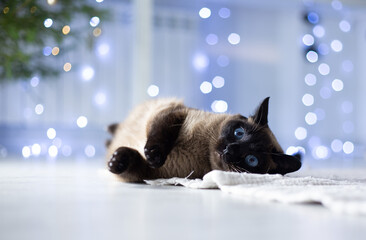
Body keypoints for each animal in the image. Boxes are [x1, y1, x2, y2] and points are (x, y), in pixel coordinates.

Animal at [105, 97, 300, 182]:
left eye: (252, 160)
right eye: (239, 133)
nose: (229, 150)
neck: (201, 150)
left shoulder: (152, 173)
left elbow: (134, 167)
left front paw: (117, 161)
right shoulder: (174, 113)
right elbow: (159, 135)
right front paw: (153, 155)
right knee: (115, 130)